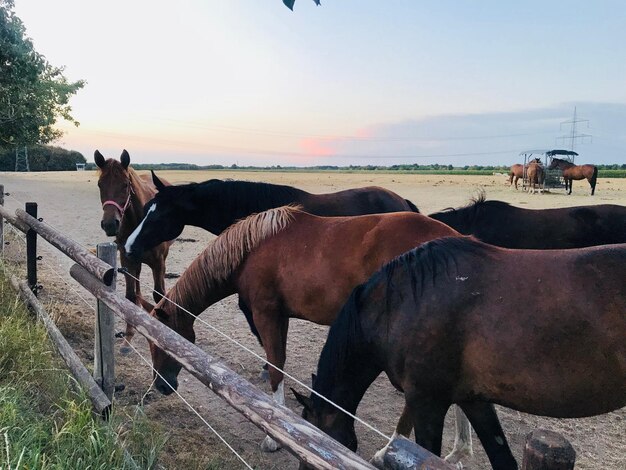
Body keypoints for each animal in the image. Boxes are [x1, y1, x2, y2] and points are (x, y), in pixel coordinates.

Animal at [93, 150, 171, 342]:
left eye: (125, 184)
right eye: (100, 184)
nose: (110, 224)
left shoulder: (158, 262)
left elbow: (159, 294)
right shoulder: (126, 259)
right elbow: (129, 296)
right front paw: (129, 334)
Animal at [145, 207, 464, 456]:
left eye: (159, 342)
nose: (161, 386)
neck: (252, 249)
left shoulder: (266, 314)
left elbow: (276, 368)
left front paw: (273, 436)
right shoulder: (280, 316)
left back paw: (390, 451)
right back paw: (457, 452)